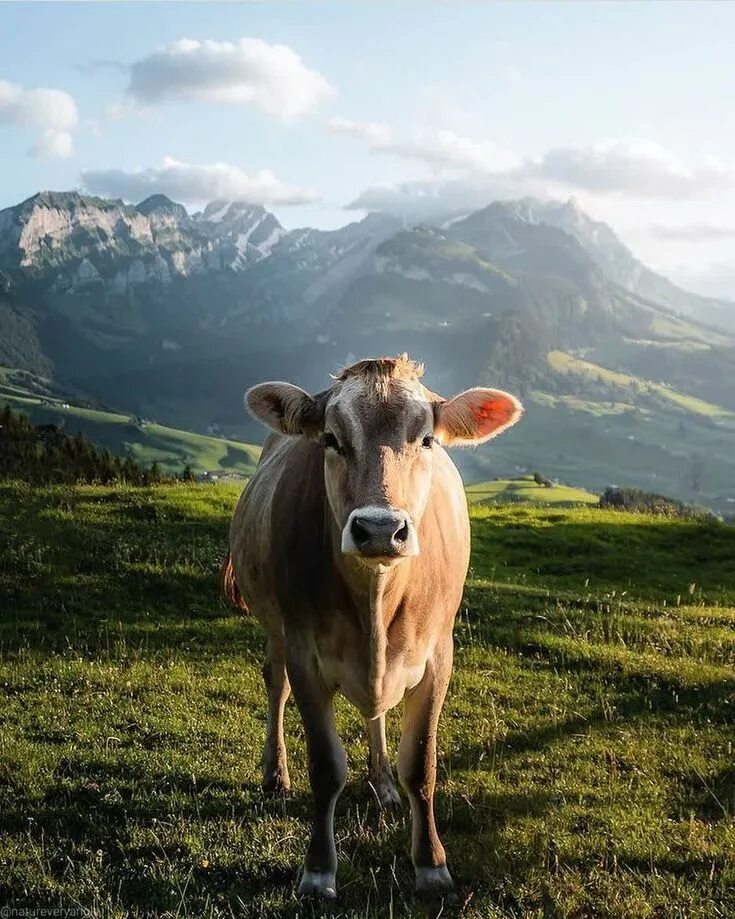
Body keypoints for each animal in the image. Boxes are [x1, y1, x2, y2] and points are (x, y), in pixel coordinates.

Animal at [230, 356, 524, 904]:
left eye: (427, 439)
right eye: (330, 438)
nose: (381, 529)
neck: (376, 598)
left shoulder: (438, 658)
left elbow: (421, 765)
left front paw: (431, 864)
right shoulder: (305, 654)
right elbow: (326, 768)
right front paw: (318, 871)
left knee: (377, 713)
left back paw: (383, 781)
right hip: (276, 630)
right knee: (274, 683)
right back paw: (275, 772)